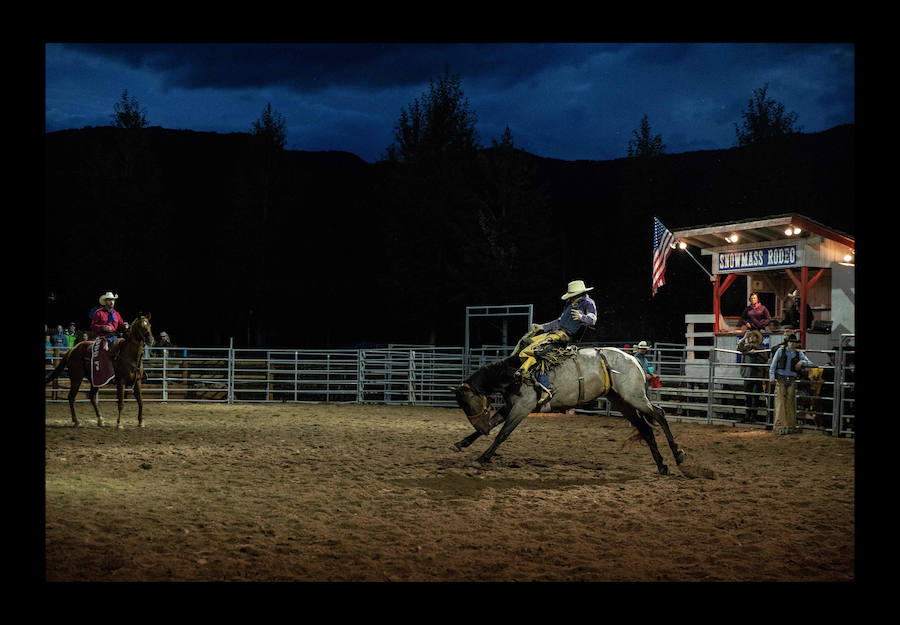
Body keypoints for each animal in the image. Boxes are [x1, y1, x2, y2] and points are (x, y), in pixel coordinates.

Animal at [446, 346, 684, 472]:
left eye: (468, 402)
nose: (482, 427)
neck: (514, 373)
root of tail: (634, 360)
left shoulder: (522, 408)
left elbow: (503, 434)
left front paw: (481, 459)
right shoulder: (510, 406)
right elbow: (494, 423)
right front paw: (460, 444)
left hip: (634, 397)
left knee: (659, 414)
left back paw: (678, 455)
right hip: (622, 402)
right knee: (646, 429)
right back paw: (662, 465)